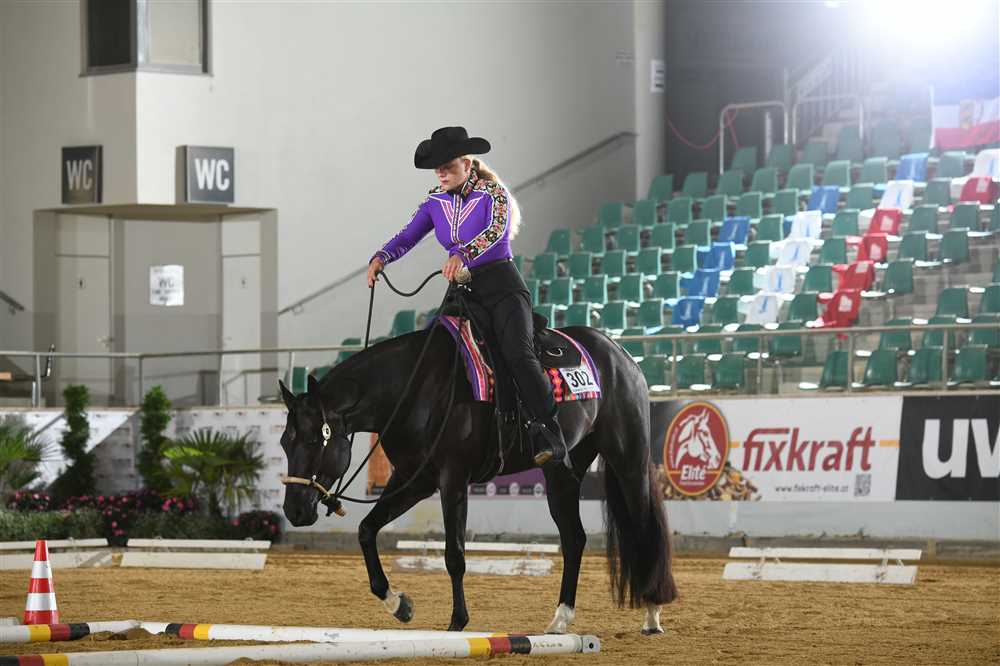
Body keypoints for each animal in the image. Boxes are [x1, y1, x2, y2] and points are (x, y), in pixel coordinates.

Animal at [277, 320, 677, 635]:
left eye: (314, 439)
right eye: (284, 442)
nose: (294, 511)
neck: (415, 387)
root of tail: (620, 353)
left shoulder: (453, 478)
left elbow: (454, 554)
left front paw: (458, 621)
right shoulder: (414, 479)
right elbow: (366, 530)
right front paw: (399, 604)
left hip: (628, 459)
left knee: (643, 527)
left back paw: (652, 613)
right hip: (563, 470)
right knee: (574, 539)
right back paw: (560, 618)